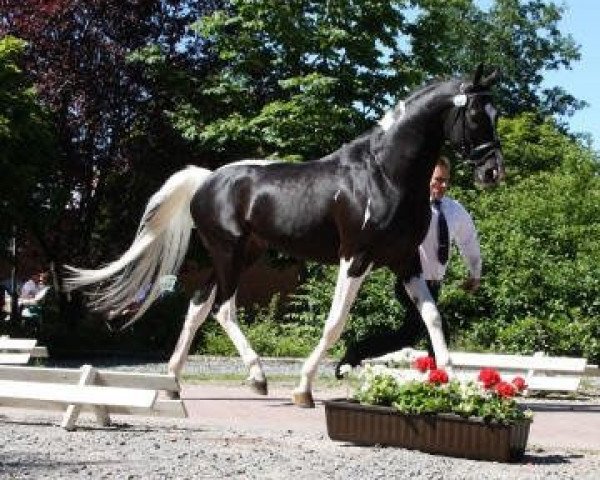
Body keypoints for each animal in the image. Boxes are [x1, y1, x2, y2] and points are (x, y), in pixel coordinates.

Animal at [65, 63, 504, 406]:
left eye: (496, 113)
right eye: (477, 115)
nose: (492, 172)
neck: (384, 175)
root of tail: (207, 180)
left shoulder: (406, 260)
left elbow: (432, 317)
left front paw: (453, 383)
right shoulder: (355, 257)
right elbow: (335, 322)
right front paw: (303, 388)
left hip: (241, 254)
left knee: (198, 305)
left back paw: (174, 382)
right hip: (229, 253)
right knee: (223, 308)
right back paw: (257, 377)